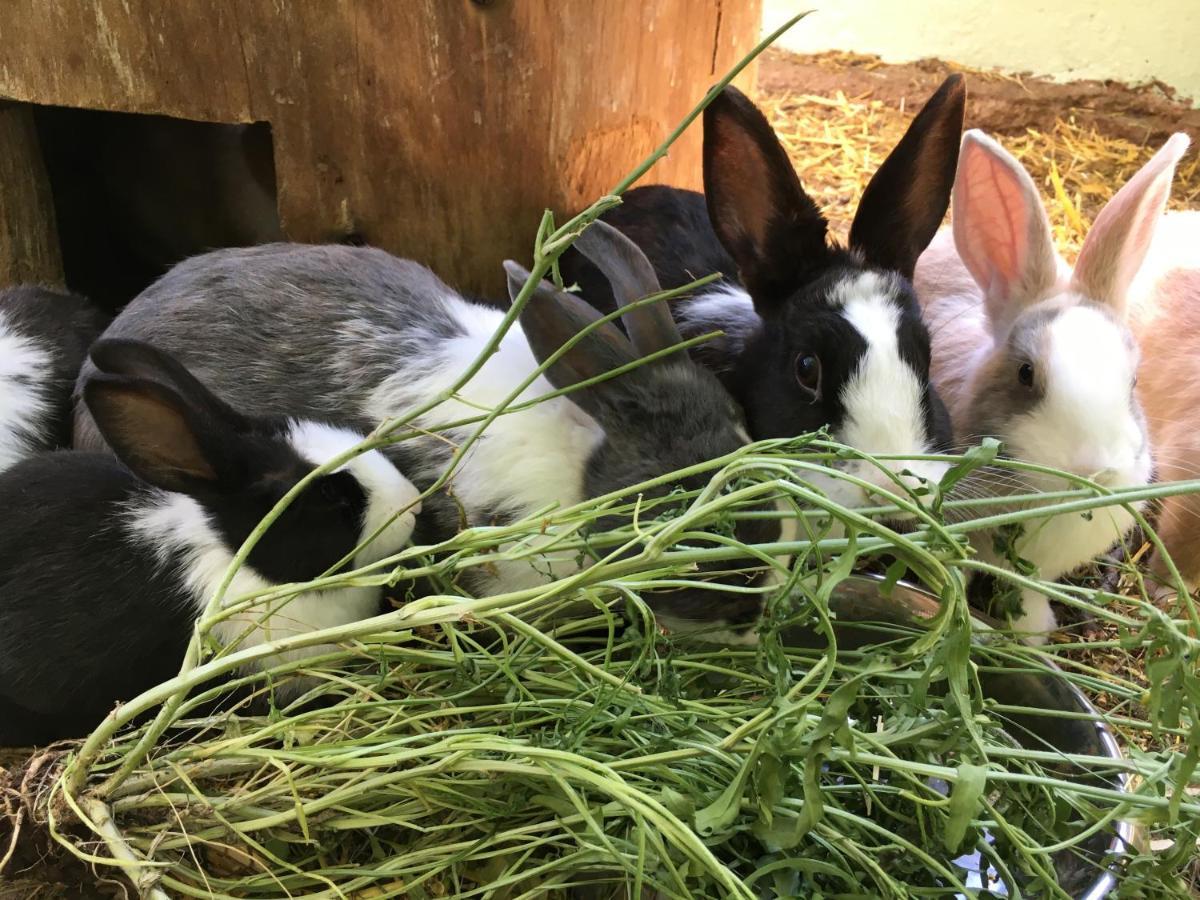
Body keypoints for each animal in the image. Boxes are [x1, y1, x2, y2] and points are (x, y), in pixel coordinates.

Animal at [912, 130, 1185, 643]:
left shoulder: (1036, 571)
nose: (1094, 471)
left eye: (1134, 380)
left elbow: (1029, 594)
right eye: (1025, 373)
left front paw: (1033, 636)